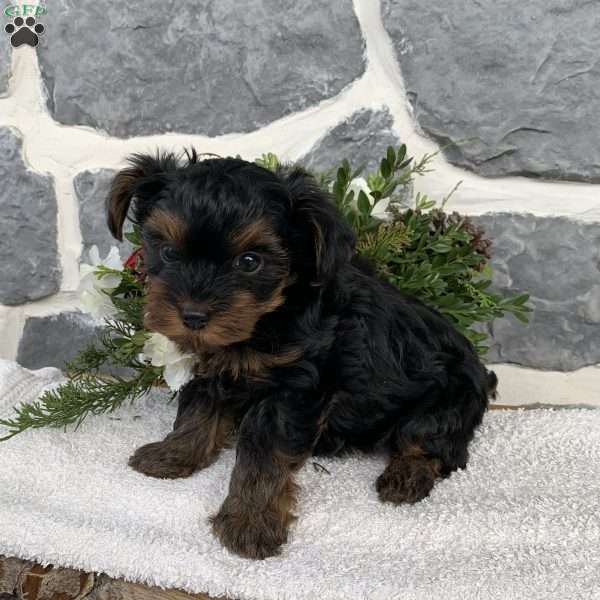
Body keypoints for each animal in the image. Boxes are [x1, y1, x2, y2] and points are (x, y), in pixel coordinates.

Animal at [105, 152, 494, 560]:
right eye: (167, 252)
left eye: (249, 262)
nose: (193, 316)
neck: (269, 317)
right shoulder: (216, 368)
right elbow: (198, 410)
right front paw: (174, 454)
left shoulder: (294, 388)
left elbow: (265, 454)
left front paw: (250, 522)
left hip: (446, 402)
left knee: (433, 442)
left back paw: (406, 476)